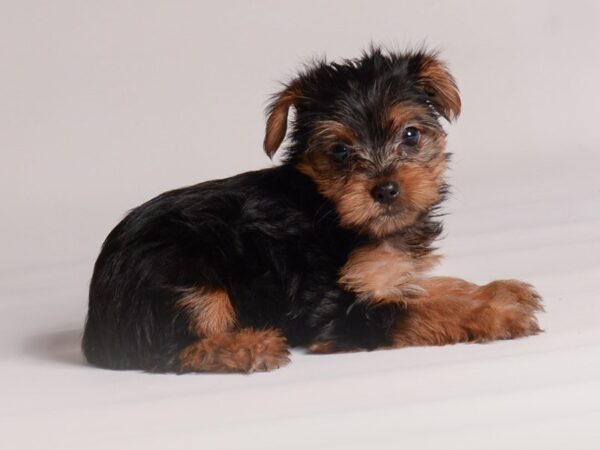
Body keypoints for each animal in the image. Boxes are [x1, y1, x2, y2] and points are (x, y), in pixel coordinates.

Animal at [82, 47, 540, 374]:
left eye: (411, 135)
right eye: (339, 151)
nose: (386, 188)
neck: (330, 208)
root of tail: (96, 326)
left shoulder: (384, 277)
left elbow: (426, 289)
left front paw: (498, 290)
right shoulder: (334, 309)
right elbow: (418, 309)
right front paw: (495, 312)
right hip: (185, 280)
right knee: (170, 350)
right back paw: (251, 346)